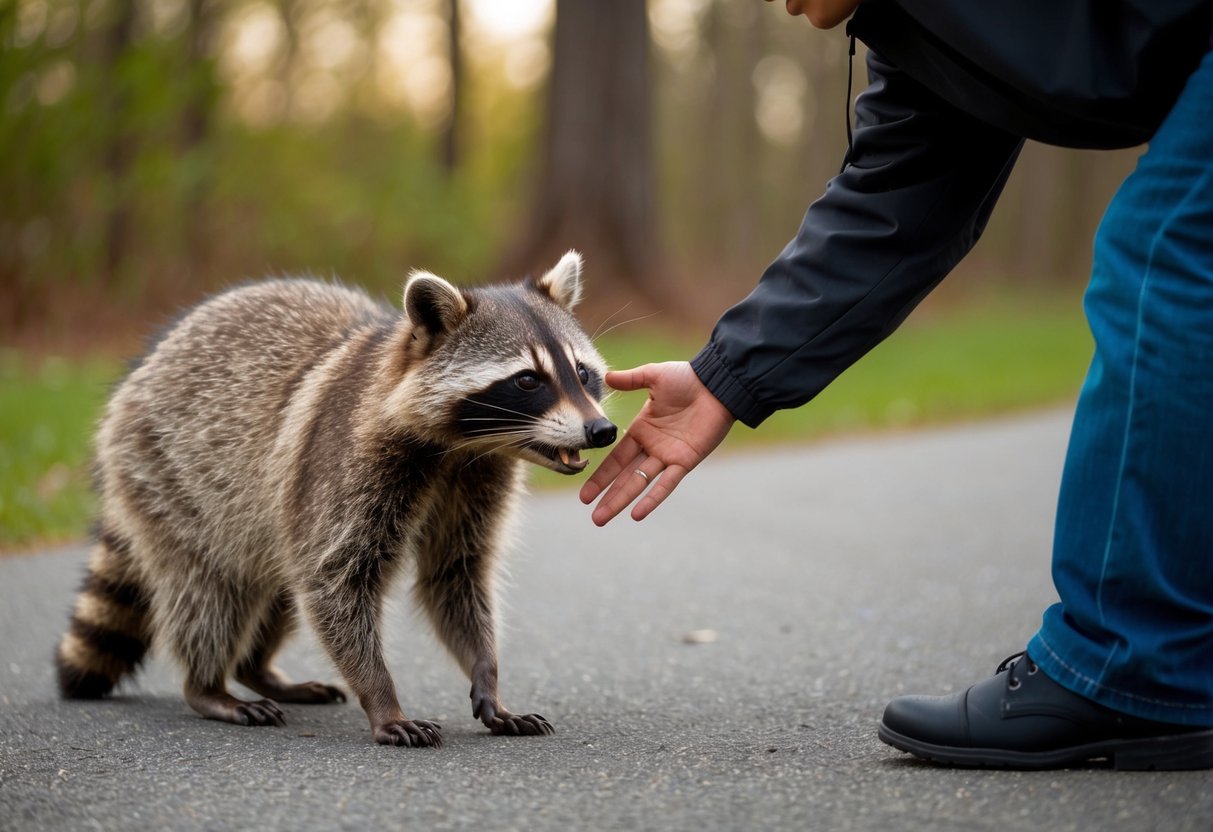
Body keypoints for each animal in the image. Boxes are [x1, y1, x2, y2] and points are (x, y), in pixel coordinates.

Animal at [54, 251, 616, 747]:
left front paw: (488, 675)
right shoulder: (345, 462)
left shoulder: (478, 477)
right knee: (212, 588)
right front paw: (382, 698)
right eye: (528, 380)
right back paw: (208, 684)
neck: (462, 446)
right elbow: (335, 580)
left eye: (582, 373)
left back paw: (256, 669)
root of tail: (141, 373)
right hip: (169, 474)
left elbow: (455, 571)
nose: (602, 431)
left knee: (276, 581)